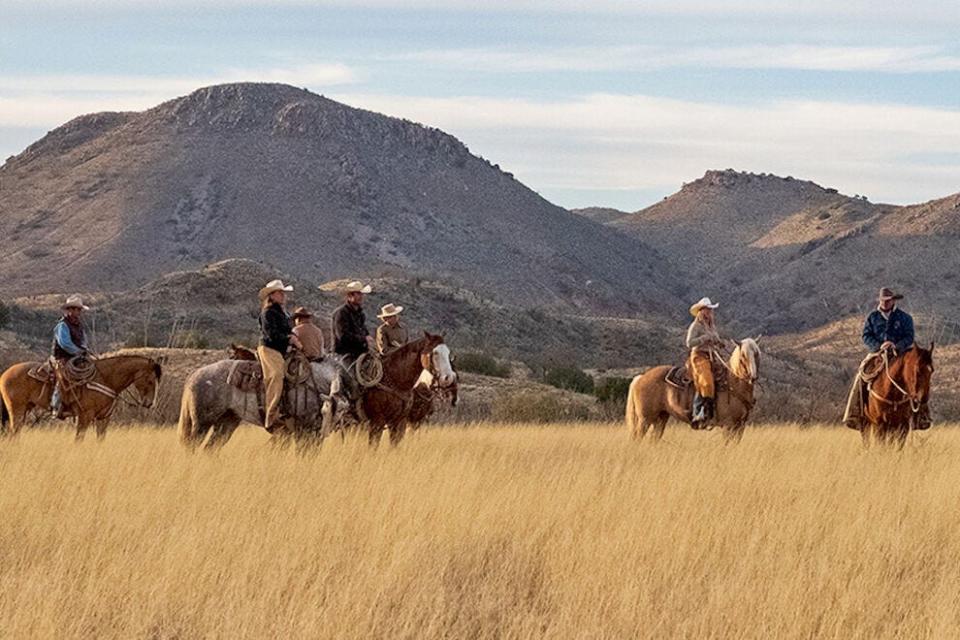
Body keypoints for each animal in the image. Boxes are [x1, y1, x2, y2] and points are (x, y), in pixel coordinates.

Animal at [0, 352, 163, 442]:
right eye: (150, 380)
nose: (149, 403)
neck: (105, 379)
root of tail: (5, 373)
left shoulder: (104, 418)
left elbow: (100, 439)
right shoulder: (85, 416)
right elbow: (79, 439)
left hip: (26, 408)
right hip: (16, 409)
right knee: (14, 432)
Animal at [628, 340, 760, 444]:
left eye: (757, 354)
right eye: (743, 355)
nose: (753, 377)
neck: (733, 382)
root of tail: (641, 377)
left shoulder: (740, 426)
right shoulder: (728, 425)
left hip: (661, 418)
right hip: (645, 419)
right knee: (637, 438)